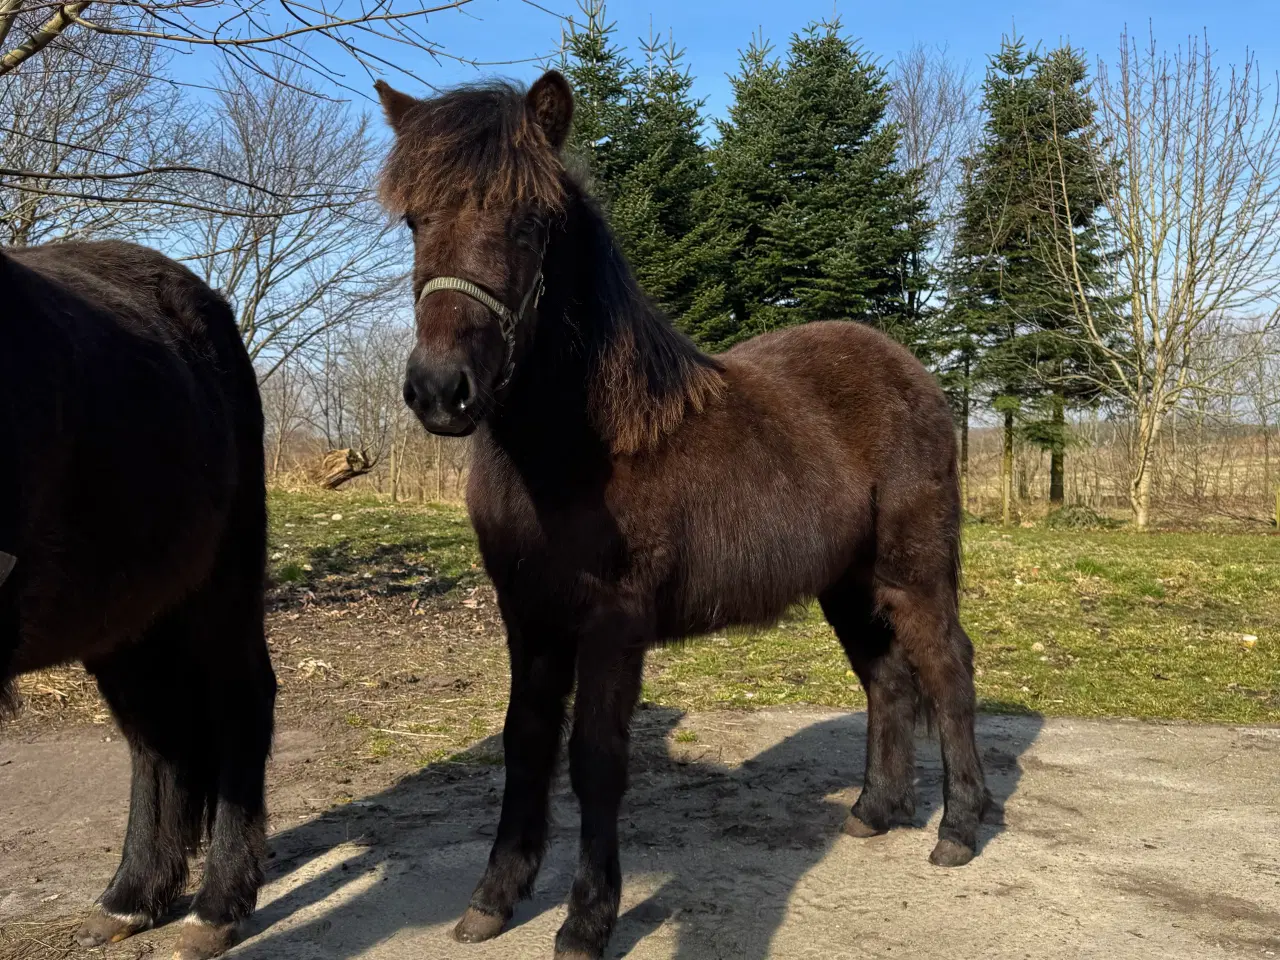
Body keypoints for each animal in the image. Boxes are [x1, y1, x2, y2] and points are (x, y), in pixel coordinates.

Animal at [0, 241, 275, 960]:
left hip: (220, 591)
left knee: (242, 701)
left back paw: (216, 908)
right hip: (128, 620)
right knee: (158, 741)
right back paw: (131, 898)